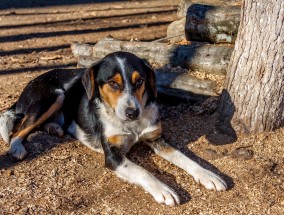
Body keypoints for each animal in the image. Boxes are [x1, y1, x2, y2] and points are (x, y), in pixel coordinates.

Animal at [0, 51, 226, 205]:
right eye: (112, 83)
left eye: (140, 81)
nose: (133, 112)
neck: (132, 125)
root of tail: (29, 84)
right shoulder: (112, 156)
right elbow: (143, 171)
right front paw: (163, 188)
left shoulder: (156, 139)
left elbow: (185, 158)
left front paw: (208, 175)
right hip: (54, 95)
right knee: (19, 129)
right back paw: (17, 147)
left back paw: (55, 127)